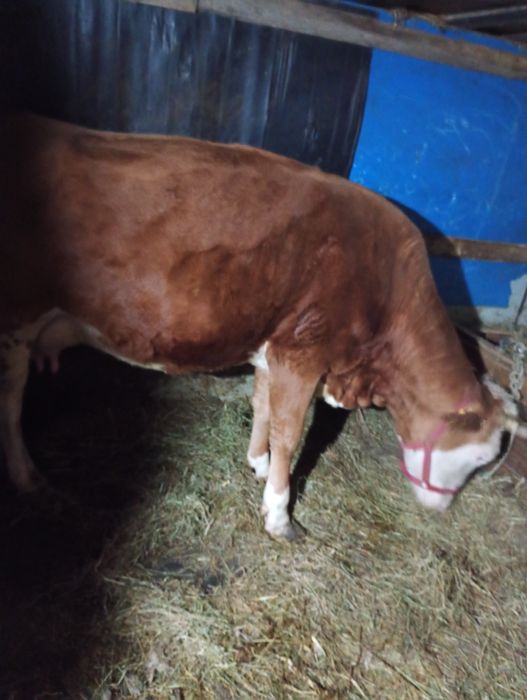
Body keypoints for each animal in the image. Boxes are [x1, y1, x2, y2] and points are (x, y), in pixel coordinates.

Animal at [0, 113, 521, 540]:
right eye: (481, 459)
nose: (442, 510)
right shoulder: (303, 351)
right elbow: (290, 431)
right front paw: (279, 512)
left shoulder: (274, 348)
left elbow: (263, 410)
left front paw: (259, 463)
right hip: (16, 320)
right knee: (10, 404)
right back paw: (27, 479)